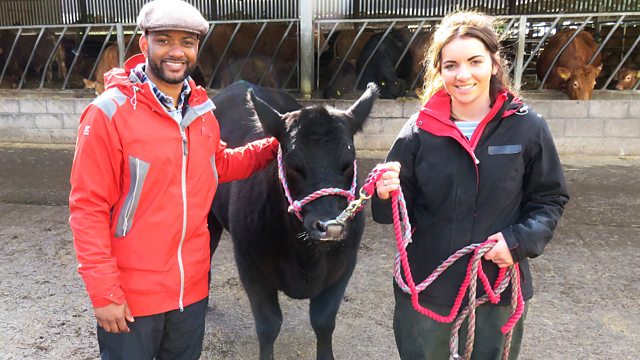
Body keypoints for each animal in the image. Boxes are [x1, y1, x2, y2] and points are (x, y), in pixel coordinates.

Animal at [210, 81, 378, 360]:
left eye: (348, 162)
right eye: (293, 164)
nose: (330, 227)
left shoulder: (345, 264)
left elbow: (323, 321)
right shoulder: (249, 264)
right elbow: (268, 325)